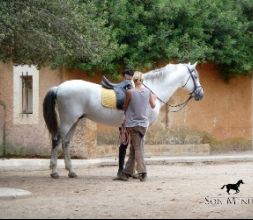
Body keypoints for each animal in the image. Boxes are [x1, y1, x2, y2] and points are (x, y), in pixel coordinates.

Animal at [42, 62, 204, 179]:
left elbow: (130, 148)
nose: (201, 94)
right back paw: (54, 171)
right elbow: (139, 148)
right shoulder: (143, 125)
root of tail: (59, 88)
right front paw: (139, 172)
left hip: (74, 121)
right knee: (56, 140)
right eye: (195, 77)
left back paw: (71, 171)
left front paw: (131, 172)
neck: (150, 90)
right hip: (68, 120)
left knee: (66, 142)